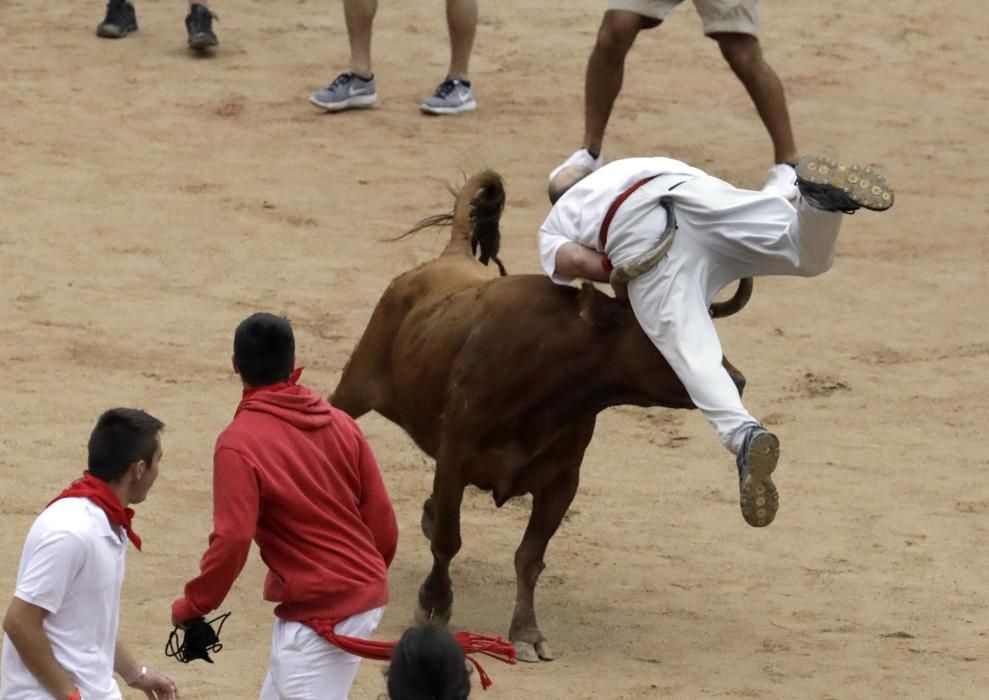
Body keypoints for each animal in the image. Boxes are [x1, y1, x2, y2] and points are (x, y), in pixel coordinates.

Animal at [332, 170, 748, 660]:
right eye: (662, 329)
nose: (737, 381)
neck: (546, 387)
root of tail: (448, 258)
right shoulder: (454, 460)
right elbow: (449, 540)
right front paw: (434, 606)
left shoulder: (562, 480)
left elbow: (529, 556)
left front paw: (527, 632)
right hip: (355, 388)